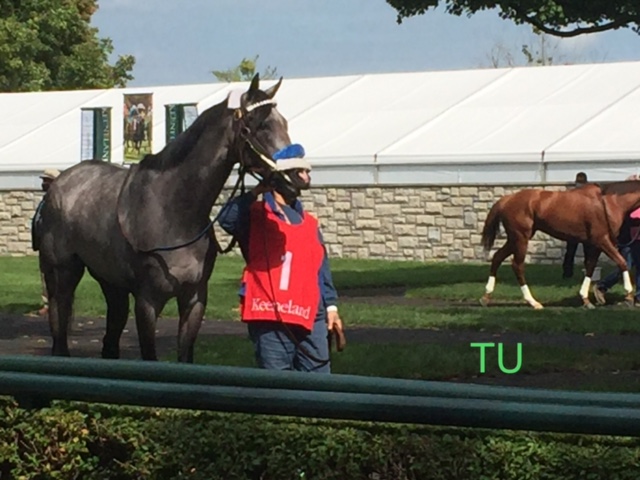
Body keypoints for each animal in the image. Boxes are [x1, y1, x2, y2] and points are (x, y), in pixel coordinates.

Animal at [36, 74, 292, 360]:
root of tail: (59, 184)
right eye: (260, 124)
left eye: (284, 122)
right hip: (61, 274)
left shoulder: (194, 298)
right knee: (60, 333)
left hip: (111, 282)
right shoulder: (148, 302)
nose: (299, 176)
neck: (172, 212)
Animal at [482, 178, 640, 310]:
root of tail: (506, 199)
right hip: (521, 238)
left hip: (514, 239)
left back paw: (486, 296)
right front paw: (628, 294)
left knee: (497, 257)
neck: (608, 202)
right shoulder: (602, 240)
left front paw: (586, 300)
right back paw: (533, 302)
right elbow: (622, 262)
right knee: (517, 265)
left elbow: (590, 267)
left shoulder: (595, 245)